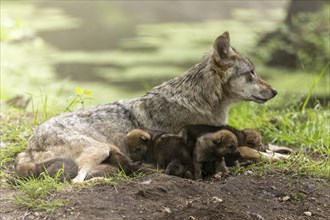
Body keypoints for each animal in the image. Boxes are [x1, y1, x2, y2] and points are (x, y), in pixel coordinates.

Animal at [16, 31, 278, 182]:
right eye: (251, 73)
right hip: (99, 148)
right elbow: (257, 152)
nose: (275, 91)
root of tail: (29, 146)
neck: (202, 101)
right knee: (76, 182)